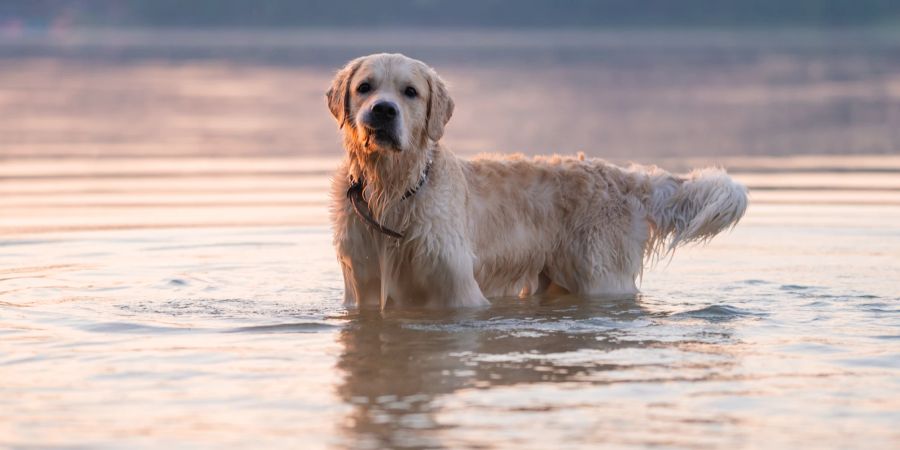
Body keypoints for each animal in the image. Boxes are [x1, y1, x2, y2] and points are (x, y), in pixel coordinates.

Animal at [326, 52, 748, 310]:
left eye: (410, 92)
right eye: (365, 87)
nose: (382, 111)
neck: (392, 190)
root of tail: (621, 175)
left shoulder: (457, 290)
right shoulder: (361, 287)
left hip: (600, 277)